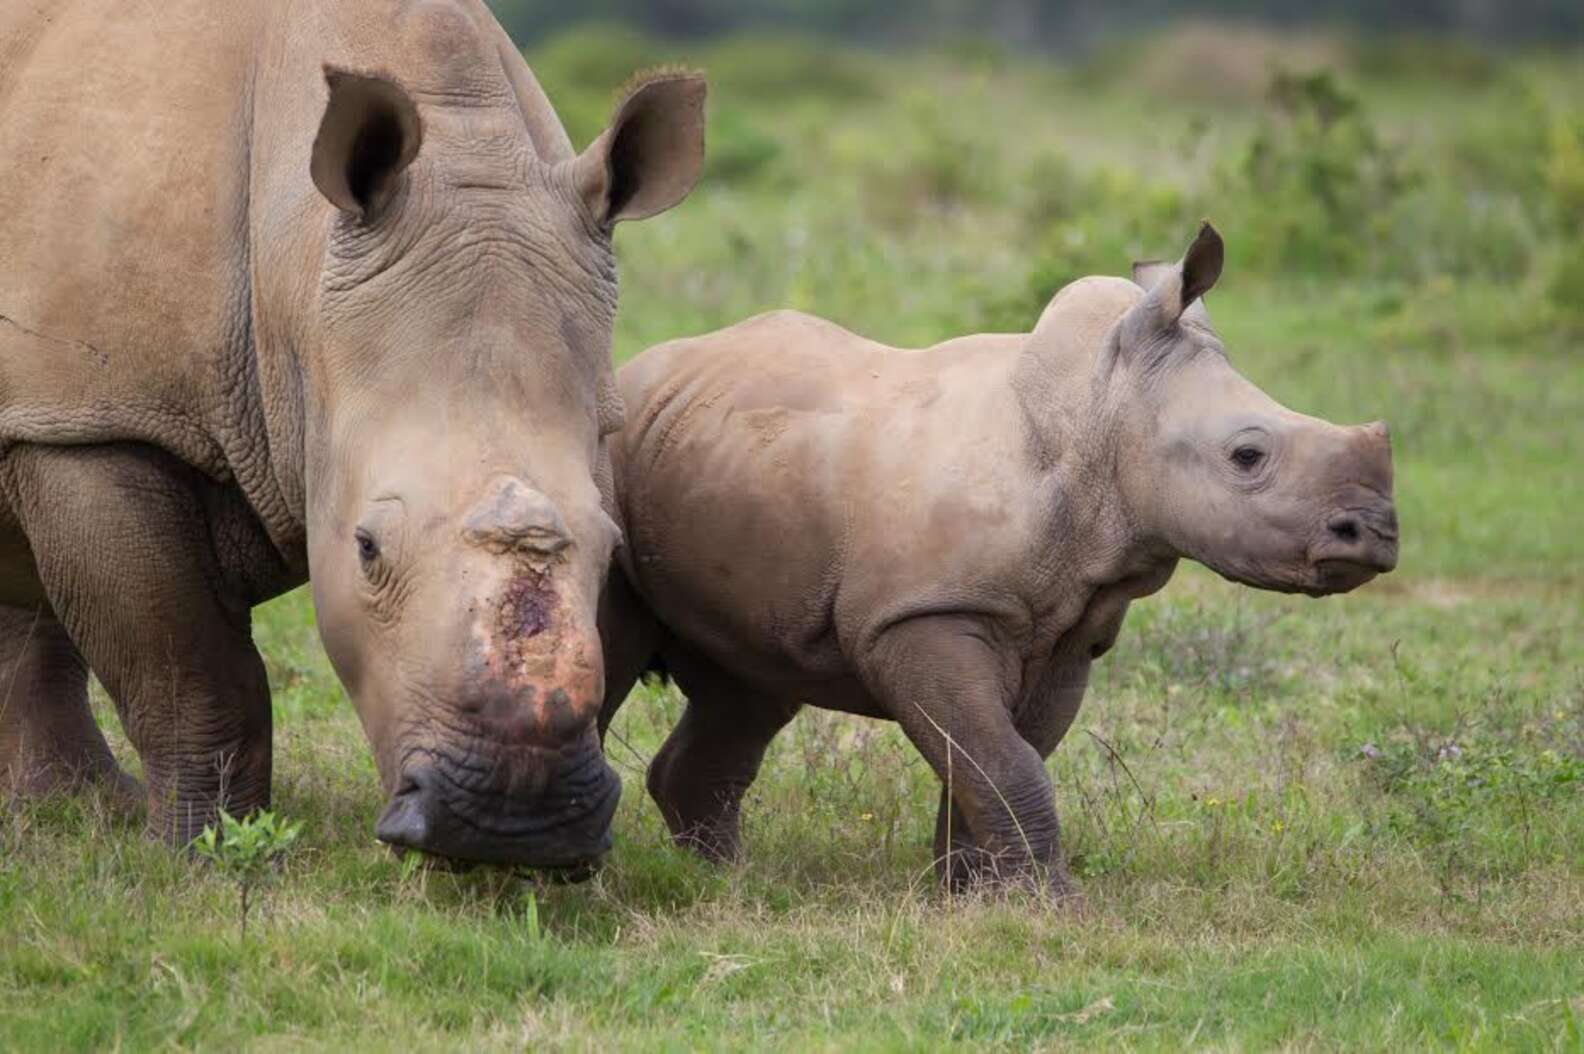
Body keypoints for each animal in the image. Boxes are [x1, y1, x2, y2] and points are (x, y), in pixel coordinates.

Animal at [0, 0, 706, 868]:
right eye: (367, 549)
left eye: (613, 549)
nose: (515, 821)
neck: (297, 279)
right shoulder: (95, 421)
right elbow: (189, 669)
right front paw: (206, 857)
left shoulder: (63, 407)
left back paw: (72, 806)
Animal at [595, 221, 1400, 893]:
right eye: (1247, 456)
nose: (1376, 535)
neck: (1099, 416)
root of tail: (639, 370)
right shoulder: (921, 615)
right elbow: (1003, 761)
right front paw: (1049, 903)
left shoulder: (1068, 632)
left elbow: (996, 760)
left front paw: (977, 895)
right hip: (611, 468)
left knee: (751, 684)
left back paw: (726, 882)